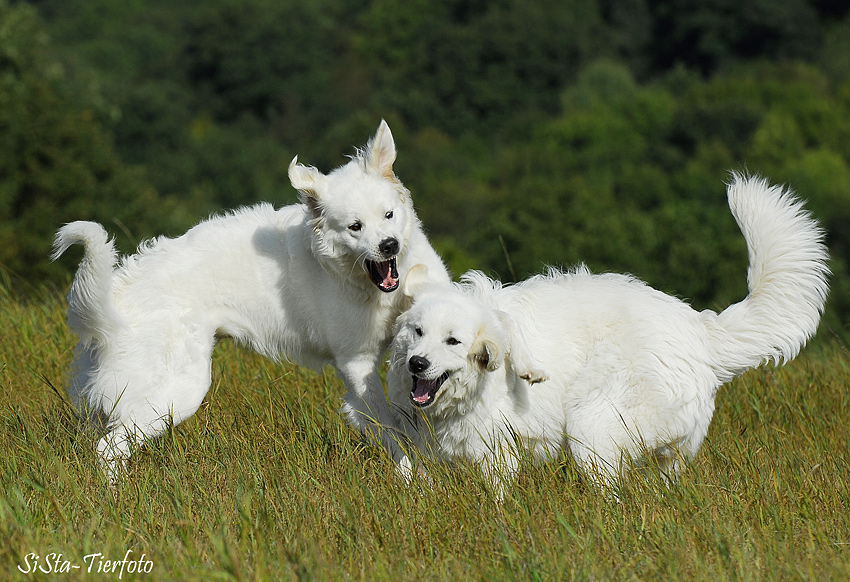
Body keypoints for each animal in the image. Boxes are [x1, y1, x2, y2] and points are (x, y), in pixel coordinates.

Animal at [51, 121, 450, 482]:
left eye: (389, 215)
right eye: (355, 227)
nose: (389, 246)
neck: (368, 286)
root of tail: (118, 297)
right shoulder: (357, 363)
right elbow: (394, 429)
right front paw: (417, 482)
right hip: (177, 391)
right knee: (108, 449)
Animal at [390, 176, 828, 496]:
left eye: (453, 341)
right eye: (418, 332)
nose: (418, 364)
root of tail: (699, 329)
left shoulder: (496, 454)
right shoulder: (423, 447)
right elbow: (414, 478)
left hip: (591, 427)